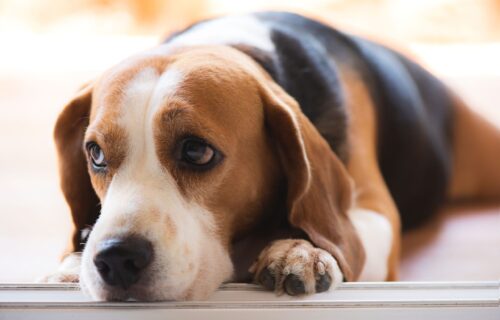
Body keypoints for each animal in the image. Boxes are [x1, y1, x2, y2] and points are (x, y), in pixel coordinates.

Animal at [42, 11, 500, 300]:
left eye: (196, 151)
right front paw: (73, 264)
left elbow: (348, 240)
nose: (115, 258)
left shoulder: (374, 215)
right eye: (96, 154)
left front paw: (301, 250)